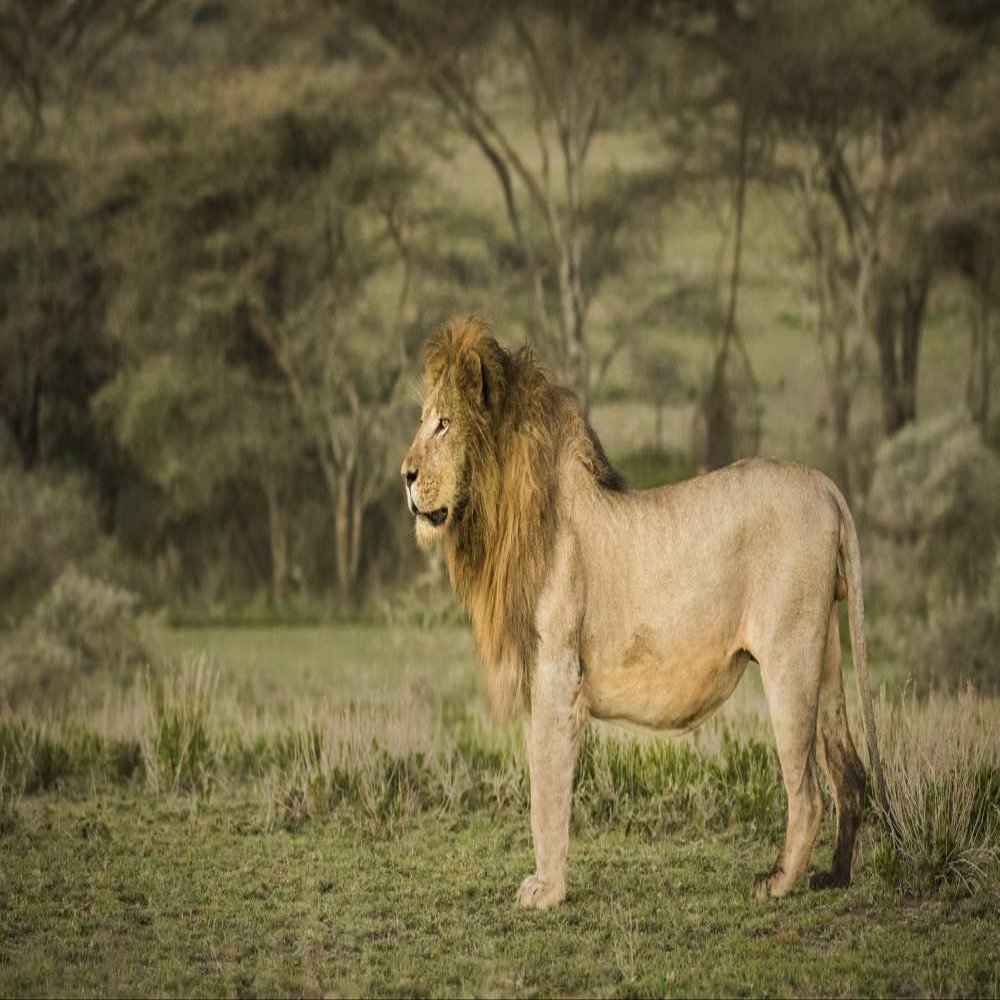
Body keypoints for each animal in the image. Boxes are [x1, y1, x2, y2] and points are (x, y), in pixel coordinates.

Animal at [402, 316, 888, 908]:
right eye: (425, 421)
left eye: (443, 425)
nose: (404, 475)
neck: (507, 510)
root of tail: (826, 486)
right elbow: (541, 780)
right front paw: (544, 884)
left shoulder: (557, 673)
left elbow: (547, 789)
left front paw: (547, 891)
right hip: (827, 653)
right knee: (849, 771)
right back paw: (834, 876)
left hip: (789, 655)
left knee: (809, 791)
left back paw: (776, 882)